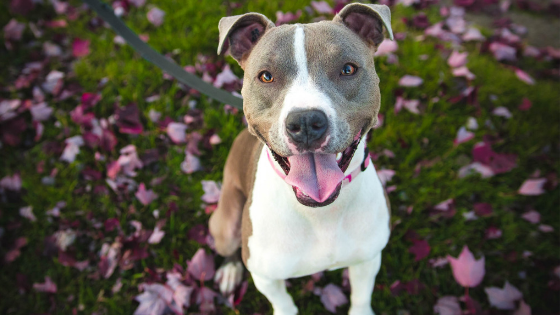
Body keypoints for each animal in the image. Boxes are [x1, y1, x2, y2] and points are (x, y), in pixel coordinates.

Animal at [208, 3, 392, 315]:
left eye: (348, 69)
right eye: (266, 76)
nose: (306, 121)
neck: (320, 212)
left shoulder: (368, 259)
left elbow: (361, 297)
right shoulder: (266, 276)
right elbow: (283, 303)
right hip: (225, 223)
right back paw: (231, 270)